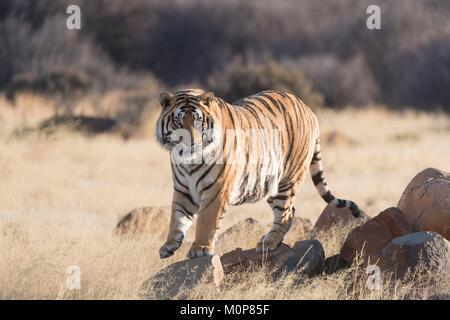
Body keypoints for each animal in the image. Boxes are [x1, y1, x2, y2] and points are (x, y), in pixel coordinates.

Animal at [156, 89, 360, 258]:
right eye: (178, 121)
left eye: (198, 121)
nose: (191, 143)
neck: (188, 162)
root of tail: (309, 109)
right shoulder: (183, 190)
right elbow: (177, 216)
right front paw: (169, 245)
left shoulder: (216, 190)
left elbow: (206, 221)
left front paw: (200, 248)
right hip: (270, 184)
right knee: (291, 211)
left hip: (286, 180)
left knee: (285, 215)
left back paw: (268, 243)